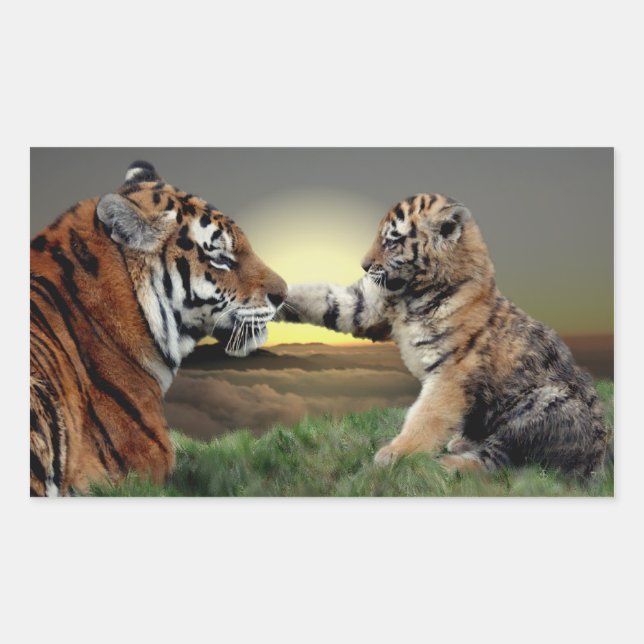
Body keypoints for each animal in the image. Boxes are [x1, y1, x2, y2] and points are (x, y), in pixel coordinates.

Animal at [279, 193, 607, 477]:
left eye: (392, 240)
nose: (364, 265)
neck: (412, 292)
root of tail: (599, 460)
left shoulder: (451, 372)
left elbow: (425, 416)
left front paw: (397, 453)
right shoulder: (368, 304)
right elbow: (325, 298)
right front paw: (277, 295)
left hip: (545, 402)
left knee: (502, 462)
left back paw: (441, 464)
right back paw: (460, 442)